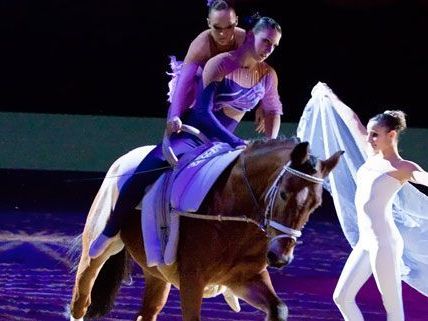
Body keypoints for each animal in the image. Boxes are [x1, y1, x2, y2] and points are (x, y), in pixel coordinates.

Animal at [70, 137, 344, 320]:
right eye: (284, 193)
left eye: (316, 205)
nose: (280, 257)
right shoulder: (193, 281)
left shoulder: (244, 278)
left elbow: (279, 308)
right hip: (95, 253)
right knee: (81, 301)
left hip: (156, 273)